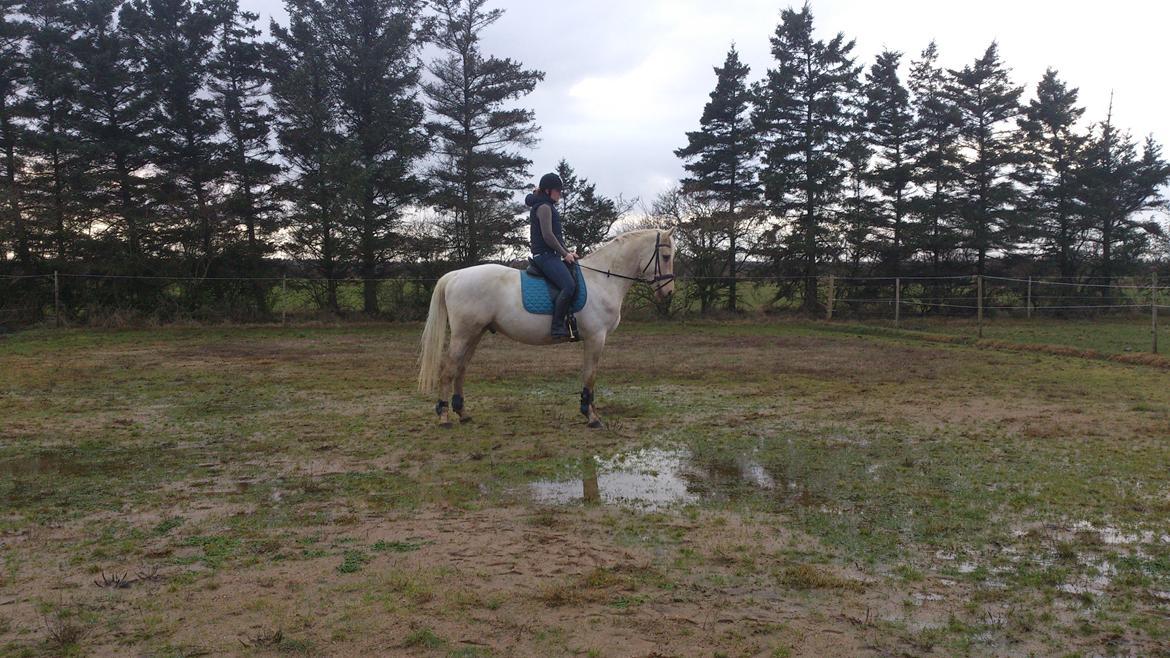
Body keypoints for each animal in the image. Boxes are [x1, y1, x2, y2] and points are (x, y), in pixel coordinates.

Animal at [418, 228, 678, 428]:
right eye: (666, 256)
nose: (669, 293)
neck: (603, 279)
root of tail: (455, 276)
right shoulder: (596, 338)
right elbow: (590, 375)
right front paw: (591, 416)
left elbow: (589, 375)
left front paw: (590, 411)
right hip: (464, 334)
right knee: (449, 370)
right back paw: (444, 417)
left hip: (475, 333)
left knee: (461, 369)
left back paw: (462, 413)